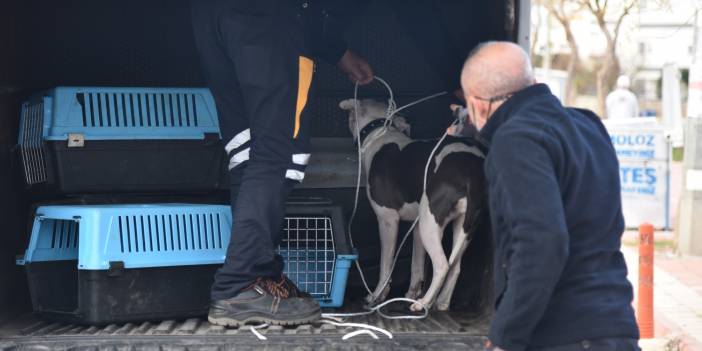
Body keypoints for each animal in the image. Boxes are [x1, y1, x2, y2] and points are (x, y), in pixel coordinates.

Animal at [342, 98, 490, 310]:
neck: (380, 131)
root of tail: (471, 173)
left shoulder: (387, 219)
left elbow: (386, 265)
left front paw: (377, 295)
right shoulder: (417, 226)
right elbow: (417, 265)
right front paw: (410, 293)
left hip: (431, 221)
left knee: (443, 264)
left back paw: (423, 303)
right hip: (464, 224)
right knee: (455, 267)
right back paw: (441, 302)